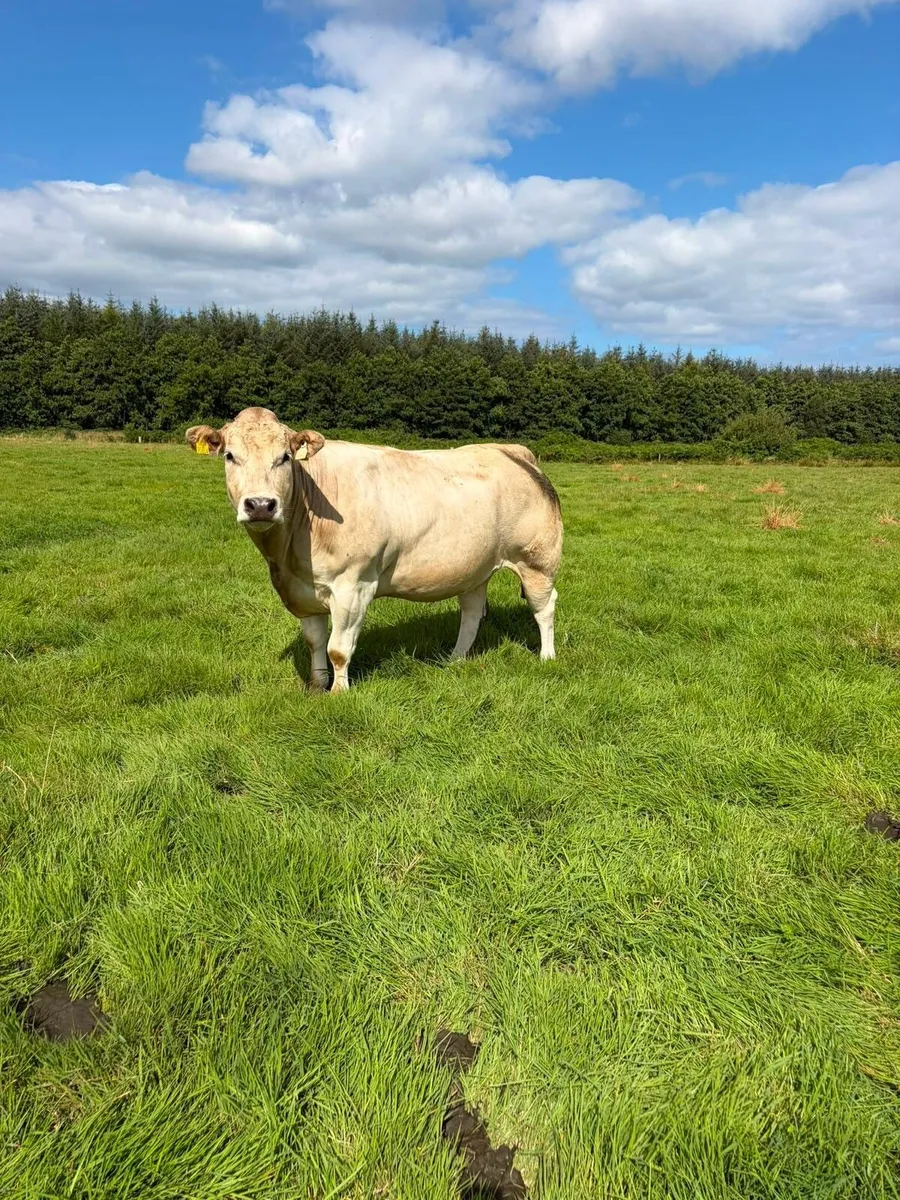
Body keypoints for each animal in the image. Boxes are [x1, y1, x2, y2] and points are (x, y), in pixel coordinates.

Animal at [187, 407, 562, 691]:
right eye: (230, 456)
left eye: (285, 458)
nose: (261, 505)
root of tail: (513, 451)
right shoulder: (301, 592)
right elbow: (315, 643)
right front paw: (316, 687)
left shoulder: (354, 585)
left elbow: (339, 648)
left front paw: (338, 693)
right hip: (475, 566)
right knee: (471, 613)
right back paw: (454, 660)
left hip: (537, 561)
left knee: (543, 607)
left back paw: (547, 657)